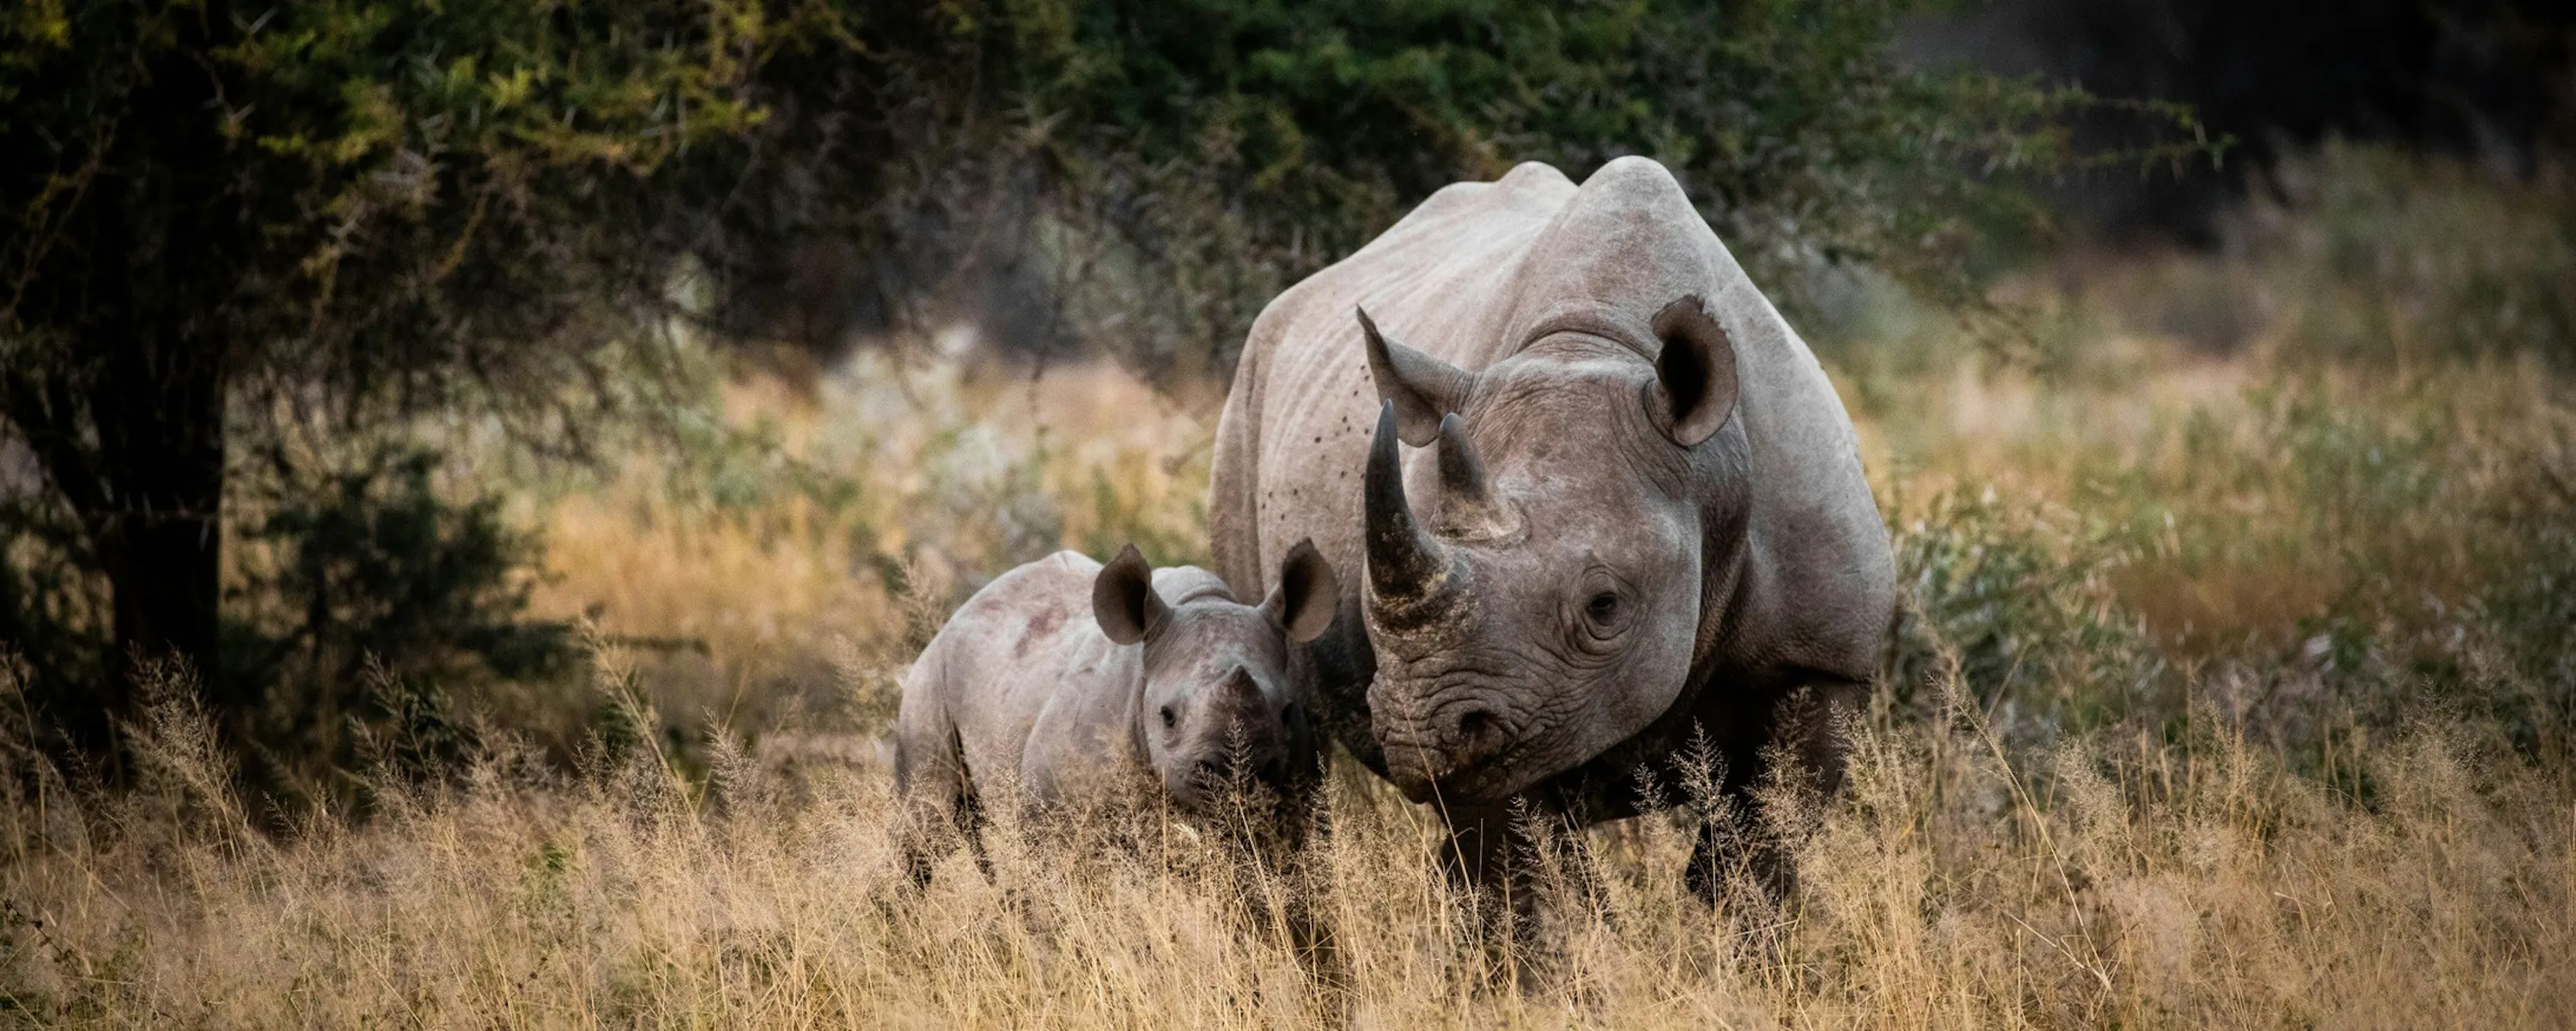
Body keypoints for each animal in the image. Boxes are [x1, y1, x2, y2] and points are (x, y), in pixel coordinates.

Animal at [892, 542, 1337, 881]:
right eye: (1167, 716)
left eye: (1286, 712)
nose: (1235, 776)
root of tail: (961, 611)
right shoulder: (1052, 813)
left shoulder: (1298, 804)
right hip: (928, 682)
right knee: (926, 830)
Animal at [1208, 157, 1895, 901]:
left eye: (1605, 606)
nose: (1422, 734)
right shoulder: (1513, 701)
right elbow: (1527, 876)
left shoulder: (1822, 662)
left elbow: (1754, 858)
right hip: (1244, 404)